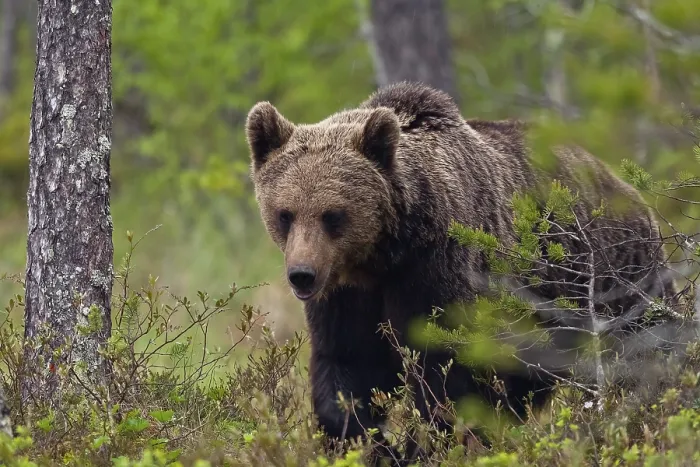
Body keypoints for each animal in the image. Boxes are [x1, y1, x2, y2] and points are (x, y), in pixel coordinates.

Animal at [245, 82, 677, 465]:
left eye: (333, 215)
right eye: (285, 214)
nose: (302, 275)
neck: (385, 253)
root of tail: (629, 189)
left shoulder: (438, 273)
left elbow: (444, 378)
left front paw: (423, 447)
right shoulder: (348, 295)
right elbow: (347, 366)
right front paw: (368, 444)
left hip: (616, 279)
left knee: (646, 353)